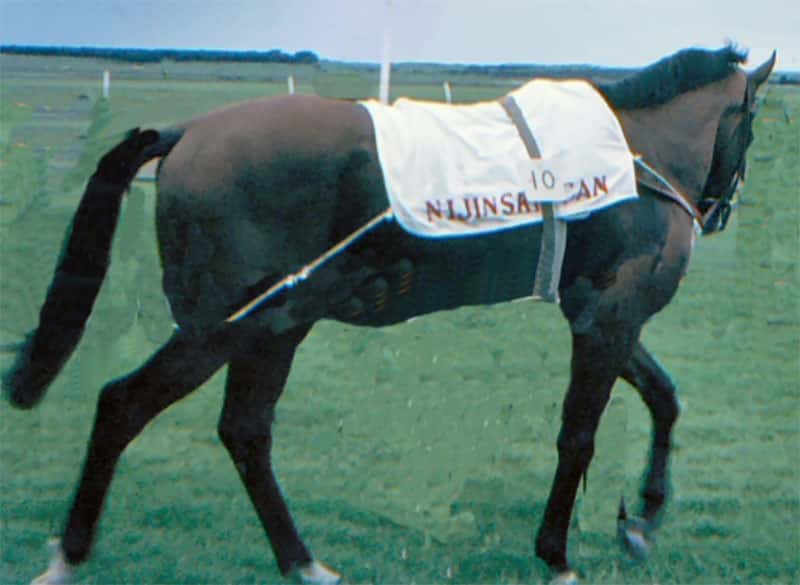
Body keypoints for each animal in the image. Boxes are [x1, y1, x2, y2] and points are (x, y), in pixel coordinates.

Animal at [3, 45, 775, 584]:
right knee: (123, 404)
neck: (629, 159)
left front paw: (641, 521)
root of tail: (187, 131)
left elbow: (664, 398)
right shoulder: (609, 318)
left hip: (275, 324)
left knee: (244, 431)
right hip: (227, 325)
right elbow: (579, 435)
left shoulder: (604, 314)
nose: (717, 209)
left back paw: (301, 560)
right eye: (753, 124)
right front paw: (557, 551)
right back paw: (72, 552)